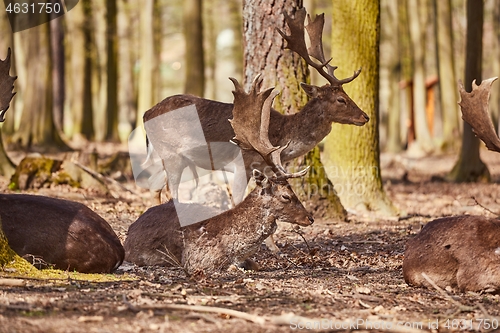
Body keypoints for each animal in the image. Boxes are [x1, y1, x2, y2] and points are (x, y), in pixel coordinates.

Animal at [143, 9, 370, 204]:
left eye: (346, 95)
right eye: (341, 99)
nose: (365, 116)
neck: (281, 137)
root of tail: (146, 114)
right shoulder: (241, 162)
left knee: (154, 186)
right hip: (171, 153)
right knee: (170, 191)